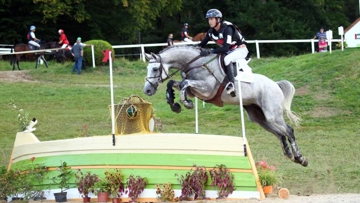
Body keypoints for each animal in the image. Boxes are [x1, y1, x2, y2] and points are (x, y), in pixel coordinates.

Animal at [143, 45, 306, 167]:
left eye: (155, 69)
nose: (147, 90)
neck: (196, 64)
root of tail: (275, 84)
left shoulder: (207, 90)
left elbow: (184, 83)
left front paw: (186, 103)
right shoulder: (195, 91)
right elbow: (175, 83)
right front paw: (174, 104)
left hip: (272, 114)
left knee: (289, 131)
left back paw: (301, 158)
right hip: (259, 118)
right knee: (280, 134)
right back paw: (289, 154)